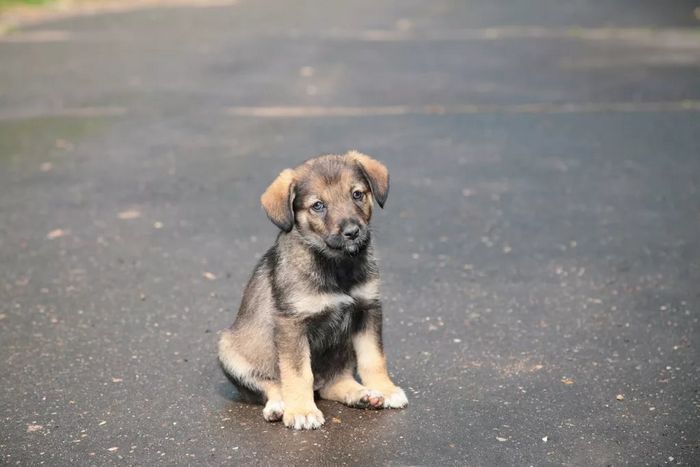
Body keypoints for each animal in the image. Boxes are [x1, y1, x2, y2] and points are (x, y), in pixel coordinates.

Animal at [216, 151, 408, 432]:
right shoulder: (292, 323)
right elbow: (298, 373)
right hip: (228, 349)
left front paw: (386, 389)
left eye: (357, 194)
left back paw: (362, 393)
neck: (337, 266)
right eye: (318, 205)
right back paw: (280, 406)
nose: (353, 232)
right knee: (271, 385)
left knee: (334, 381)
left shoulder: (368, 308)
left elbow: (374, 357)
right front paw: (302, 411)